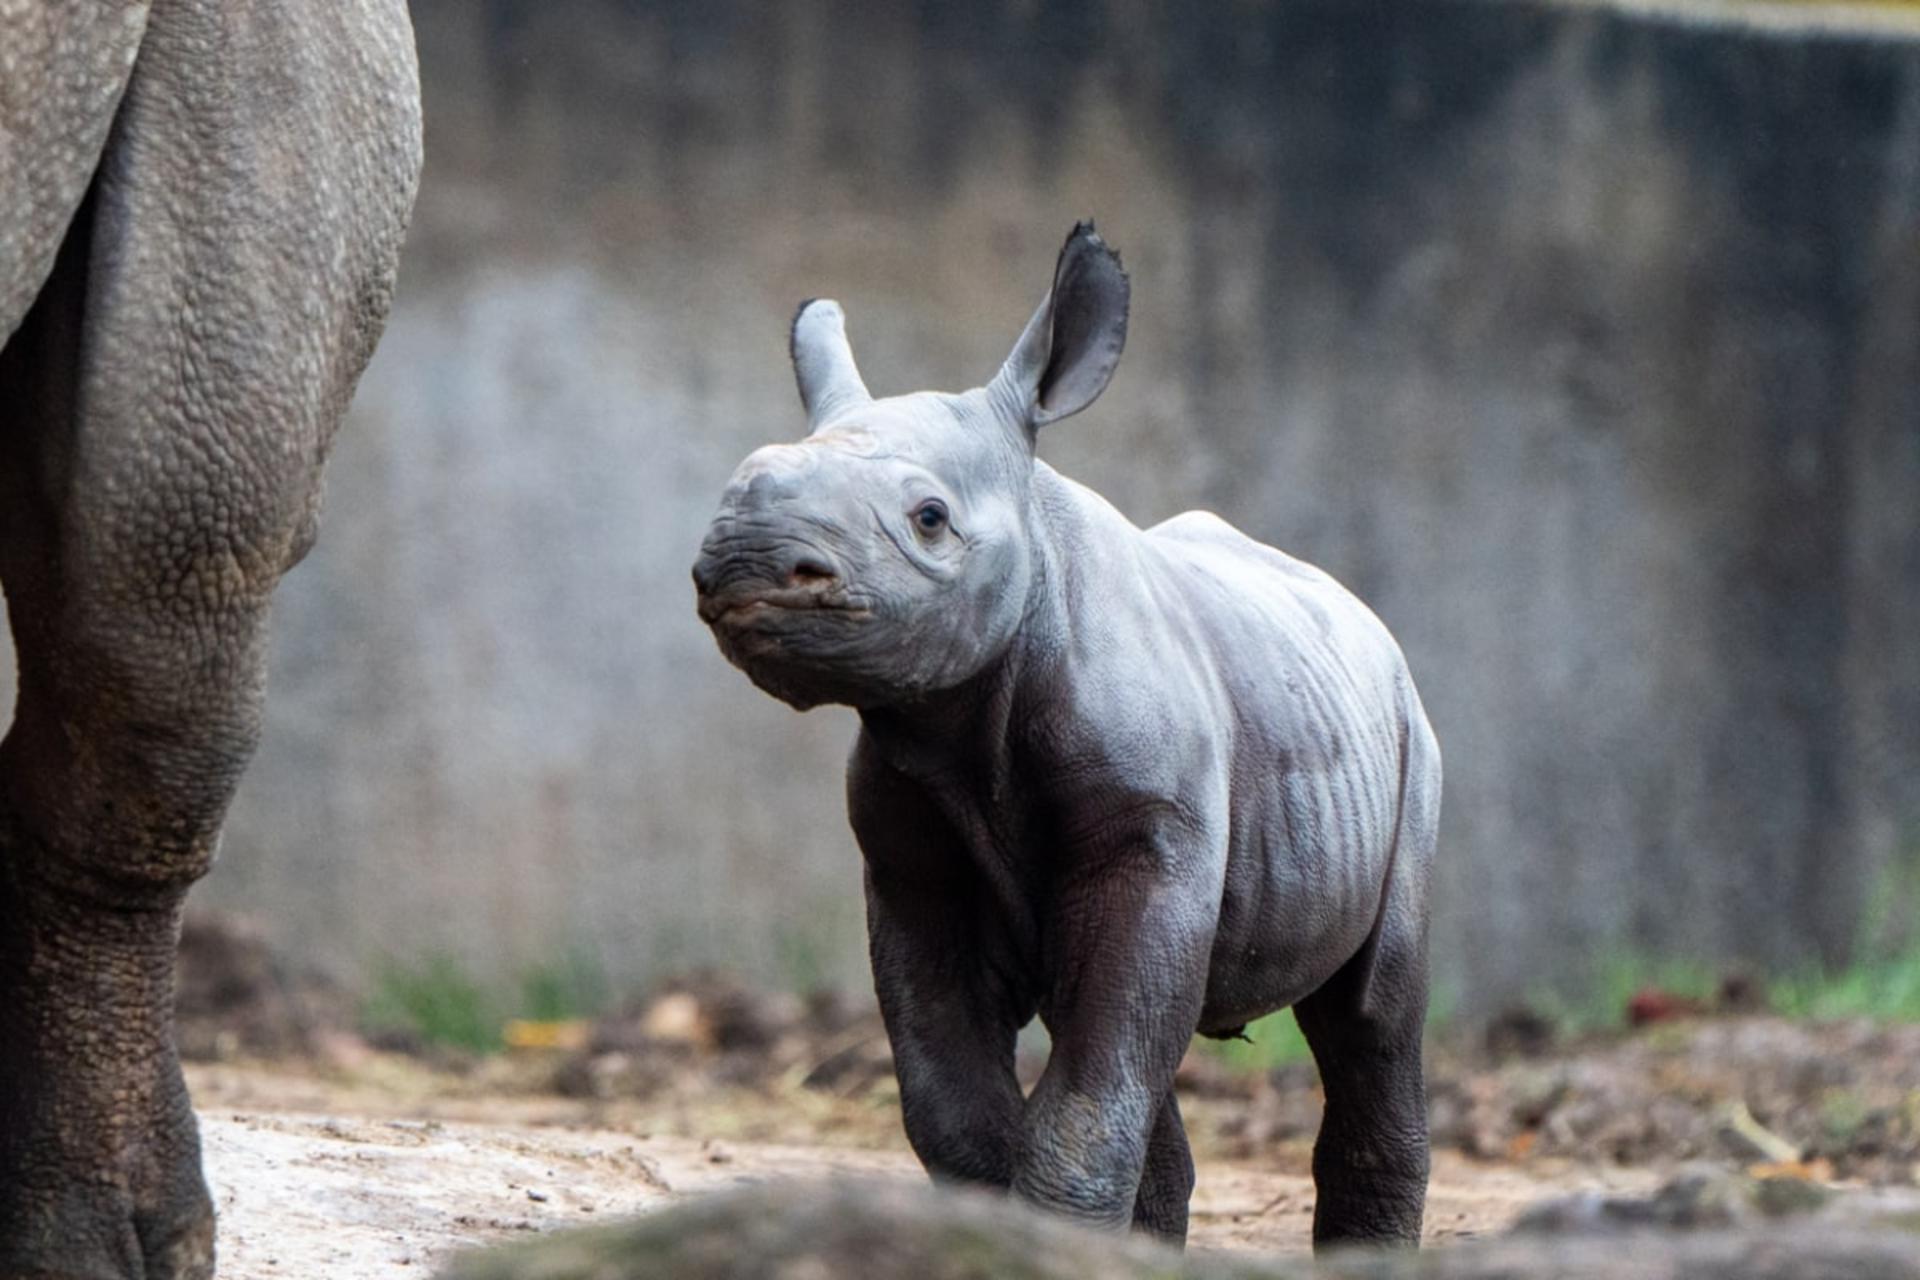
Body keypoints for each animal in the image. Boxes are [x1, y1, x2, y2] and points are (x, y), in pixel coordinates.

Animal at [695, 225, 1443, 1243]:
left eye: (929, 521)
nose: (745, 558)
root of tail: (1365, 621)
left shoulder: (1151, 835)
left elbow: (1093, 1088)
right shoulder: (912, 869)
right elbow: (957, 1105)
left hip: (1409, 738)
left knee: (1371, 1013)